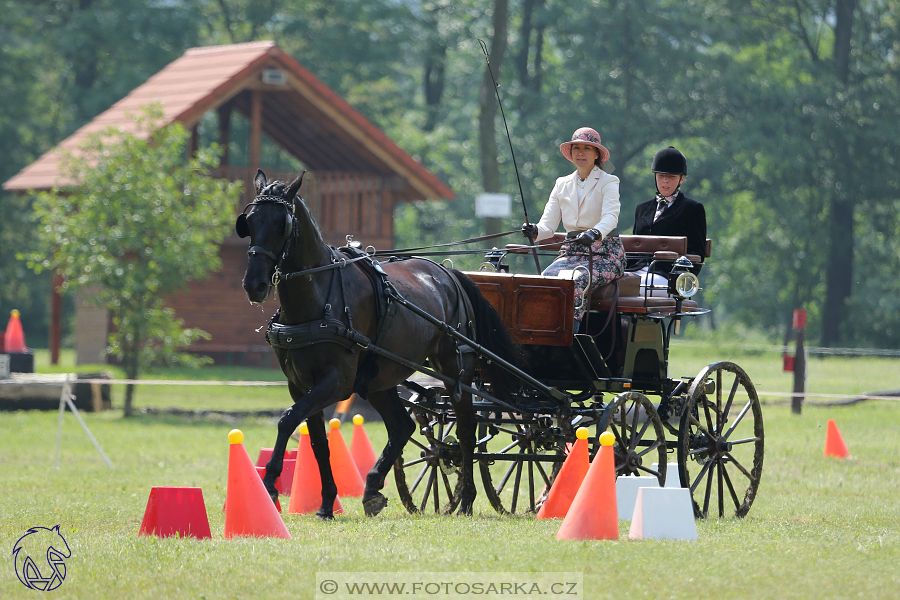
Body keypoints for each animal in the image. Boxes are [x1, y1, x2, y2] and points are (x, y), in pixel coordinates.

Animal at [237, 171, 520, 516]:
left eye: (282, 224)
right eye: (249, 221)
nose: (254, 284)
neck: (319, 298)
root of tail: (449, 273)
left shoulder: (337, 382)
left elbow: (288, 419)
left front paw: (270, 483)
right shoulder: (300, 384)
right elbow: (317, 442)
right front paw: (326, 503)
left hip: (456, 371)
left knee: (465, 429)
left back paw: (466, 498)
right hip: (380, 379)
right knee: (402, 427)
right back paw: (372, 488)